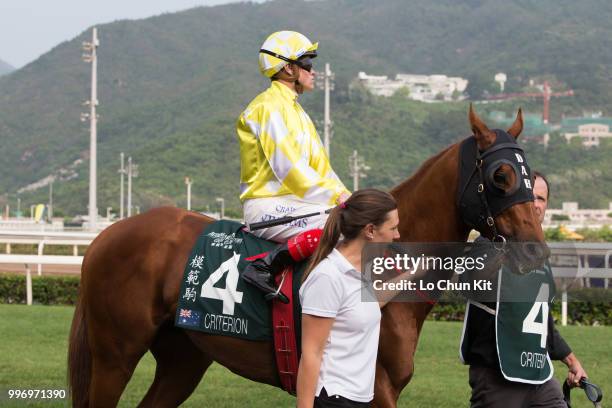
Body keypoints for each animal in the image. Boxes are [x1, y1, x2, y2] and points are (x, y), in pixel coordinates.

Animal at [69, 107, 548, 406]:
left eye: (530, 176)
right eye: (501, 176)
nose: (535, 249)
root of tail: (104, 236)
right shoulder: (373, 385)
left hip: (183, 357)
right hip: (116, 354)